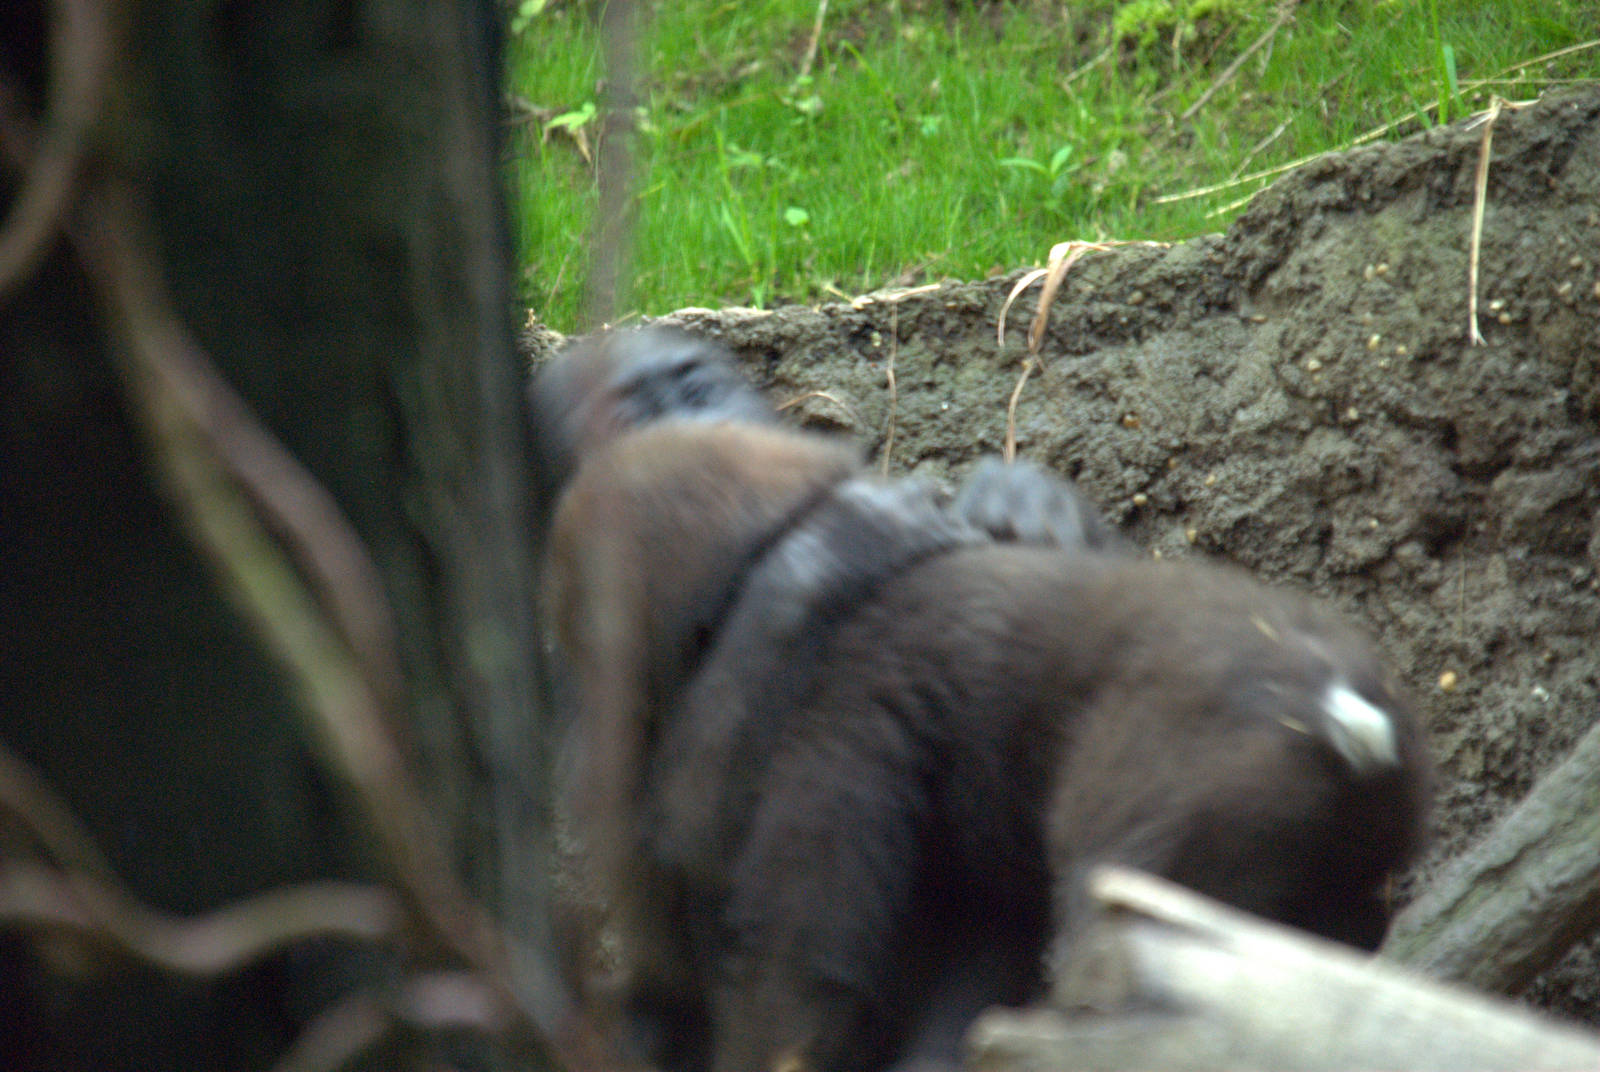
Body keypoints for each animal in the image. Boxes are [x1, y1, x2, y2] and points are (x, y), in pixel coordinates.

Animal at [531, 327, 1431, 1072]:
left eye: (694, 380)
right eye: (627, 410)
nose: (697, 408)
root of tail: (1333, 704)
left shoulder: (832, 725)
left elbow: (792, 962)